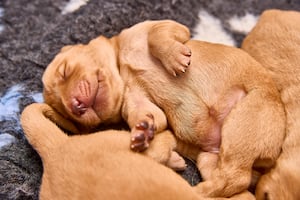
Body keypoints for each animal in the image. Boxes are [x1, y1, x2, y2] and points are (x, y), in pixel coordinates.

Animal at [41, 19, 284, 198]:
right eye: (63, 111)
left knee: (237, 177)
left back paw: (197, 191)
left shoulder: (161, 26)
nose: (75, 106)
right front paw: (141, 131)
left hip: (245, 120)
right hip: (211, 156)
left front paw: (175, 58)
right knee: (232, 178)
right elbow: (148, 115)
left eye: (64, 71)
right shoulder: (136, 98)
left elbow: (156, 36)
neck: (121, 63)